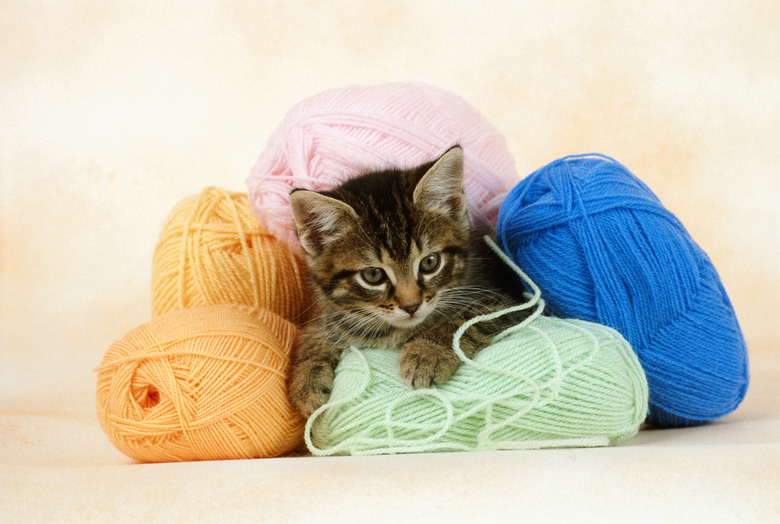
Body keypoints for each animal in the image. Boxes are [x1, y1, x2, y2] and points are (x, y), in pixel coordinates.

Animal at [290, 146, 528, 418]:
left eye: (430, 262)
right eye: (373, 275)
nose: (411, 305)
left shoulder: (507, 303)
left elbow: (463, 319)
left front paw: (428, 353)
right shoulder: (333, 315)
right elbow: (314, 334)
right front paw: (306, 381)